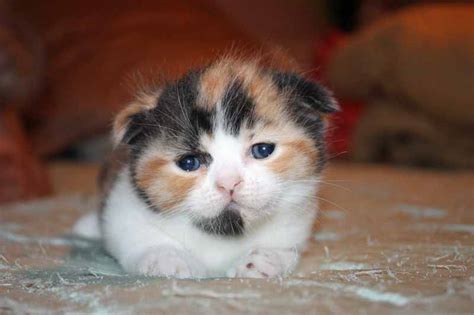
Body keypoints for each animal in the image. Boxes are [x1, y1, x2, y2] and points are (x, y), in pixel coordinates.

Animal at [74, 56, 336, 278]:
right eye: (189, 163)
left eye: (263, 150)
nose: (229, 183)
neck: (223, 234)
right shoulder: (120, 206)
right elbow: (136, 236)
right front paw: (168, 259)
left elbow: (286, 249)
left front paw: (264, 259)